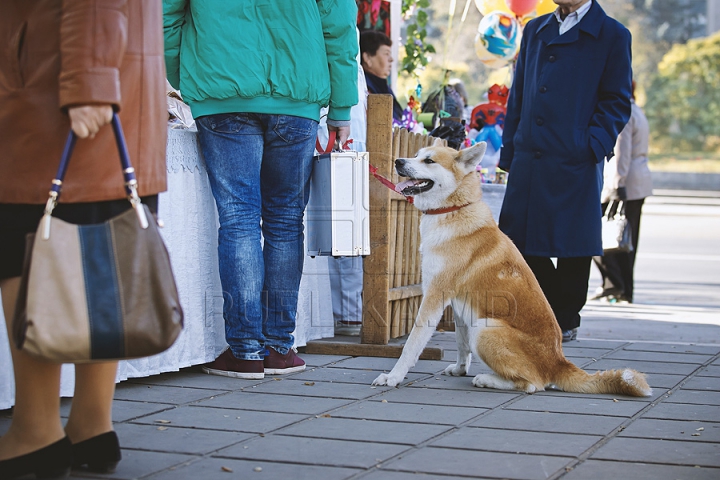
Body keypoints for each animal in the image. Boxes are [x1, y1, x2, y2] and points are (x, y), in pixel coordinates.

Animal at [372, 140, 652, 398]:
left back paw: (487, 379)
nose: (398, 161)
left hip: (485, 328)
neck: (453, 210)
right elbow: (461, 344)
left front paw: (393, 377)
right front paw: (460, 369)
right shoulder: (458, 305)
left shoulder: (434, 296)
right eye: (416, 155)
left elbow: (412, 344)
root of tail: (558, 363)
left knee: (532, 384)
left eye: (429, 161)